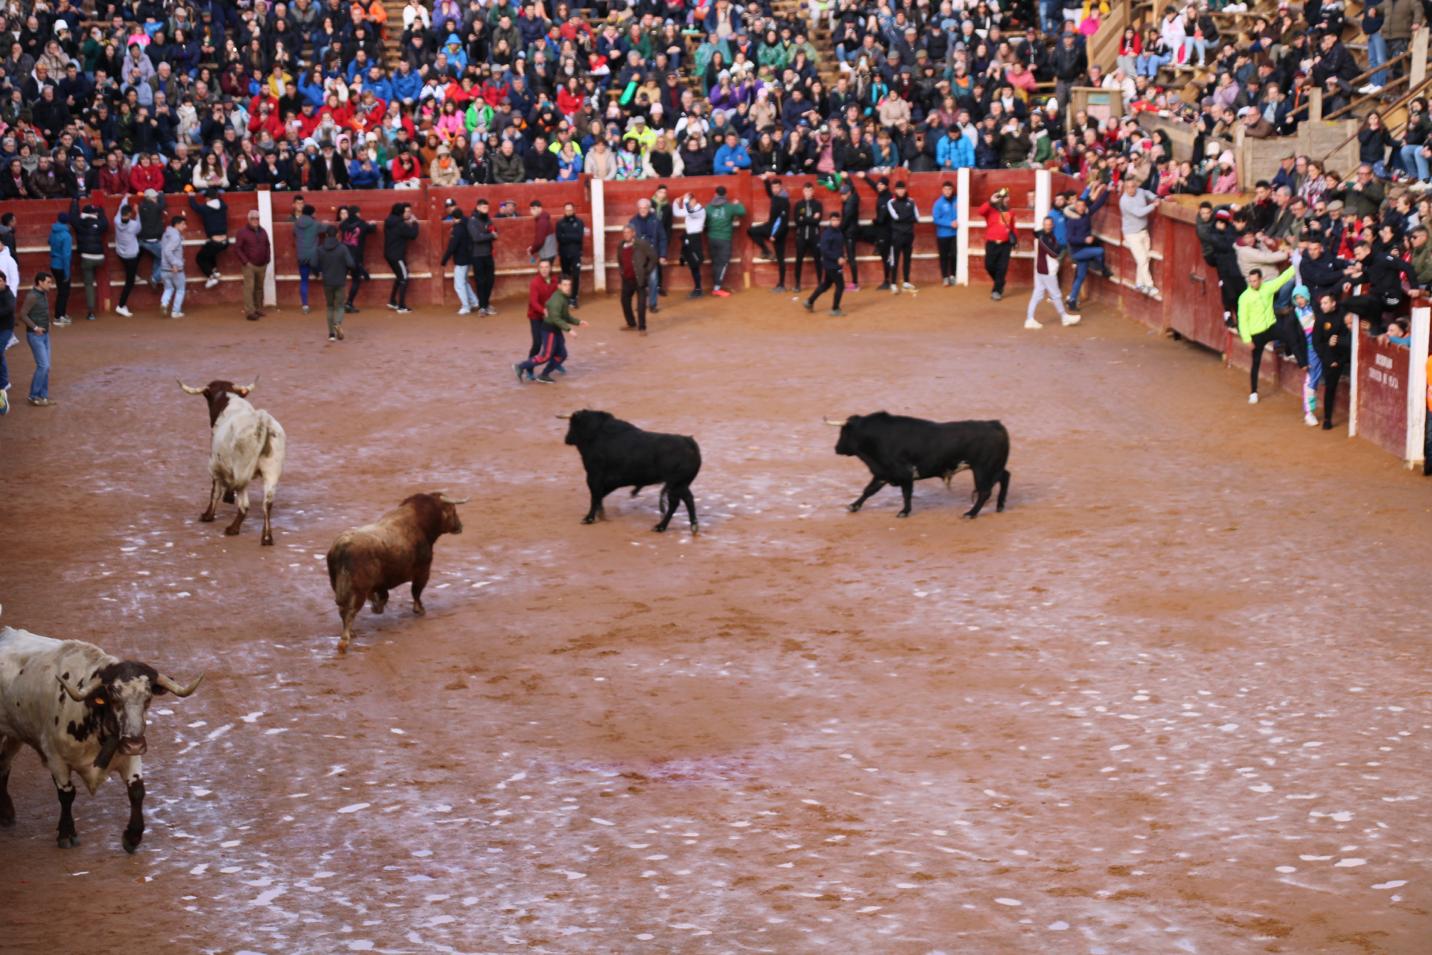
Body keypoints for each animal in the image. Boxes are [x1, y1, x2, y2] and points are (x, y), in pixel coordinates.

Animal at [0, 615, 203, 853]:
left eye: (148, 698)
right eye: (113, 697)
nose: (135, 744)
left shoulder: (129, 757)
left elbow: (137, 791)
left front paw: (132, 836)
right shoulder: (55, 759)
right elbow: (67, 794)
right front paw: (67, 834)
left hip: (15, 734)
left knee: (4, 763)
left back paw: (6, 812)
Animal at [177, 377, 286, 544]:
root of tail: (262, 421)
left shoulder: (214, 466)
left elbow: (215, 491)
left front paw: (208, 515)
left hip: (242, 470)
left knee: (244, 504)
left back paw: (233, 529)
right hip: (271, 471)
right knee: (267, 504)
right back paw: (266, 537)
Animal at [326, 492, 469, 658]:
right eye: (453, 510)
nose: (460, 526)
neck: (420, 522)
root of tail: (341, 547)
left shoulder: (382, 582)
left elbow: (384, 596)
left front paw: (376, 607)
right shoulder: (422, 571)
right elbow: (416, 592)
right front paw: (419, 610)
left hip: (337, 585)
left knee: (343, 610)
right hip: (358, 591)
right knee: (348, 611)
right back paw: (344, 642)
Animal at [824, 409, 1013, 515]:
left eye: (844, 432)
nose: (836, 448)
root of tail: (995, 424)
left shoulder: (904, 473)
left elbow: (906, 493)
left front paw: (904, 512)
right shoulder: (883, 473)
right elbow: (869, 490)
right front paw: (853, 506)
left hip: (983, 469)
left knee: (985, 492)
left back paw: (971, 513)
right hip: (994, 467)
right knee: (1005, 477)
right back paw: (1000, 506)